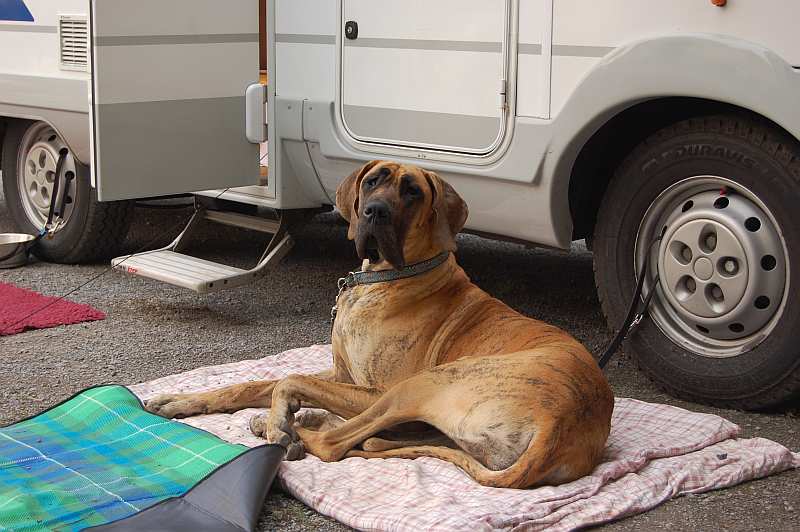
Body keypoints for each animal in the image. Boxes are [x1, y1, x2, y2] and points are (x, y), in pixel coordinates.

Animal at [146, 161, 614, 488]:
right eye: (372, 182)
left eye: (412, 192)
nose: (374, 212)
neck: (386, 277)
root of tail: (563, 423)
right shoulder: (341, 375)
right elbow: (256, 383)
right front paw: (179, 401)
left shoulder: (372, 388)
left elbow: (289, 380)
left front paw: (280, 423)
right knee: (375, 437)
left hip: (420, 385)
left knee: (337, 443)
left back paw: (290, 428)